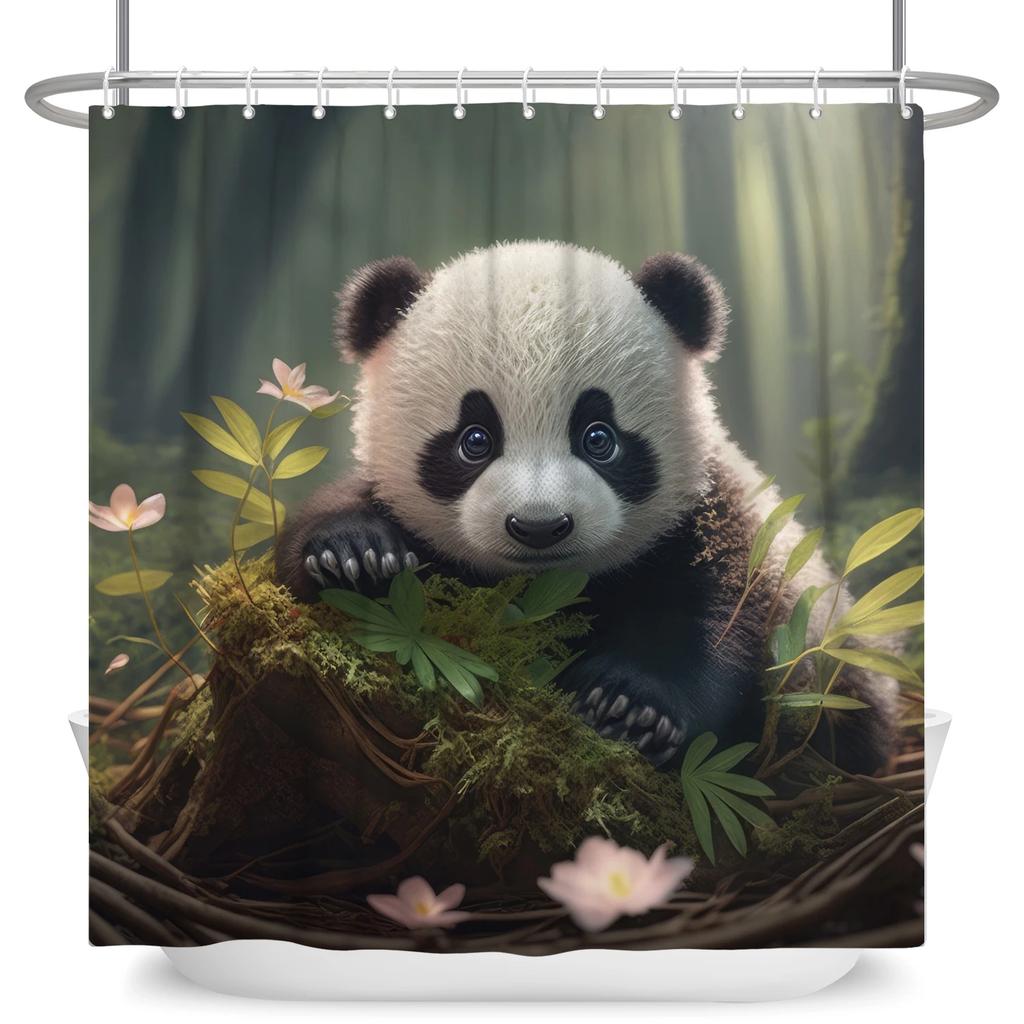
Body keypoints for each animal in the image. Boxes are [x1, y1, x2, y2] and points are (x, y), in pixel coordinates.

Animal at [277, 241, 898, 775]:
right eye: (474, 439)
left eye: (598, 436)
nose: (539, 527)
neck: (552, 589)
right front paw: (356, 556)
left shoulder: (712, 525)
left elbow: (719, 625)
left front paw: (628, 706)